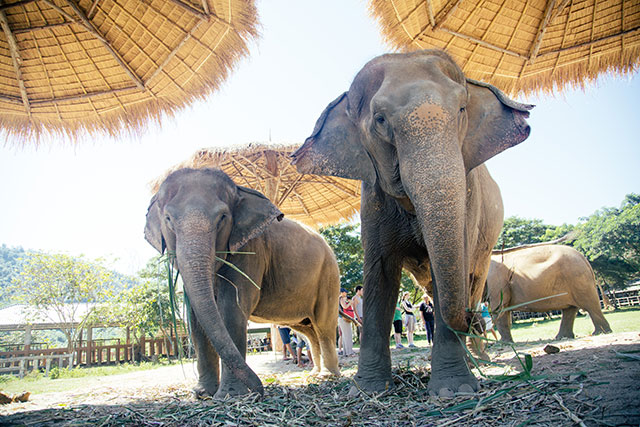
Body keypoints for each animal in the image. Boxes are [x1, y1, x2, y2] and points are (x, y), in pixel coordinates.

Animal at [144, 168, 341, 398]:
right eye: (168, 219)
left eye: (222, 217)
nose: (261, 389)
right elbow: (195, 318)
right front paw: (202, 394)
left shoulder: (251, 250)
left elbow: (232, 310)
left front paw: (230, 395)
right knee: (307, 330)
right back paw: (314, 375)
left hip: (329, 276)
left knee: (323, 326)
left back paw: (327, 376)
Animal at [291, 49, 533, 396]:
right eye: (380, 120)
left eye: (461, 109)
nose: (469, 323)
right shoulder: (372, 198)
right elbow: (380, 275)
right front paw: (367, 390)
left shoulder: (469, 197)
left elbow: (450, 269)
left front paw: (454, 390)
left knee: (472, 283)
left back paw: (480, 359)